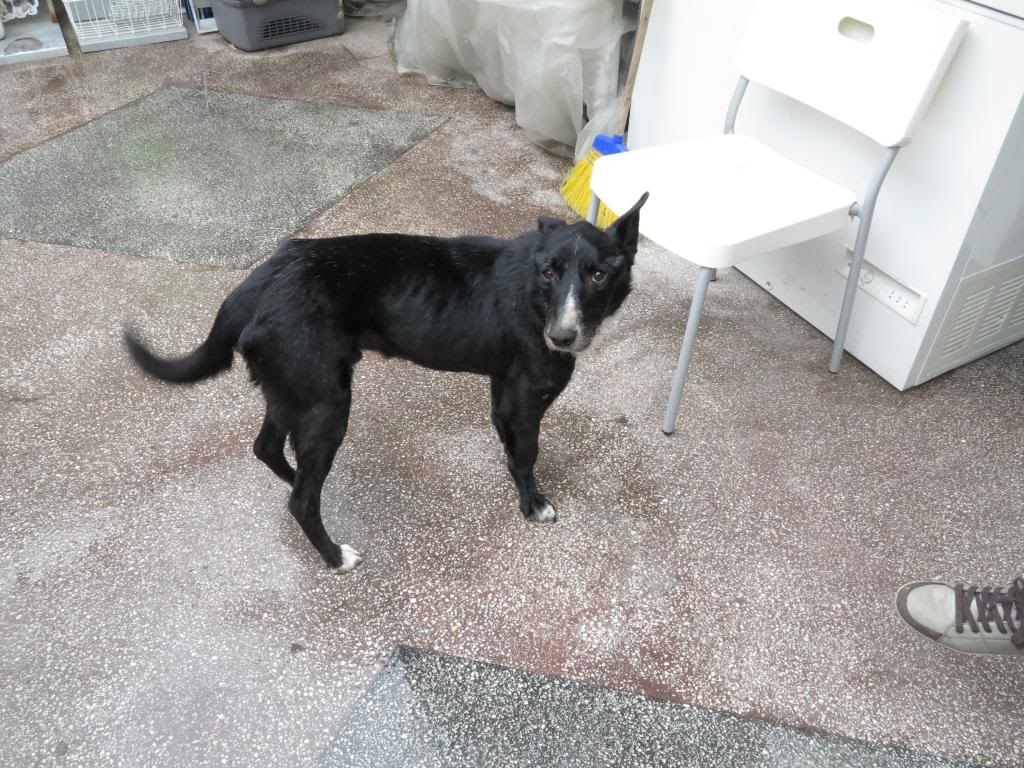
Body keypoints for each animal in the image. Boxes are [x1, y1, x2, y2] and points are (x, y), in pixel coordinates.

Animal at [125, 195, 647, 573]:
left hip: (294, 392)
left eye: (598, 274)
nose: (561, 337)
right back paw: (334, 555)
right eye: (550, 272)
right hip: (326, 404)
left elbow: (508, 440)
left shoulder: (505, 386)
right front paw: (533, 503)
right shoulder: (530, 394)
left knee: (269, 450)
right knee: (301, 500)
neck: (535, 296)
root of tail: (257, 280)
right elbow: (525, 453)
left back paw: (297, 480)